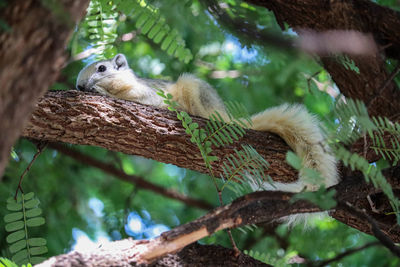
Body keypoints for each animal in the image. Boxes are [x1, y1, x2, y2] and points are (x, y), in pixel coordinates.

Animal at [76, 54, 338, 196]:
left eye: (102, 68)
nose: (79, 86)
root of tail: (228, 117)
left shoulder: (150, 94)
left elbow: (138, 97)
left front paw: (100, 90)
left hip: (195, 91)